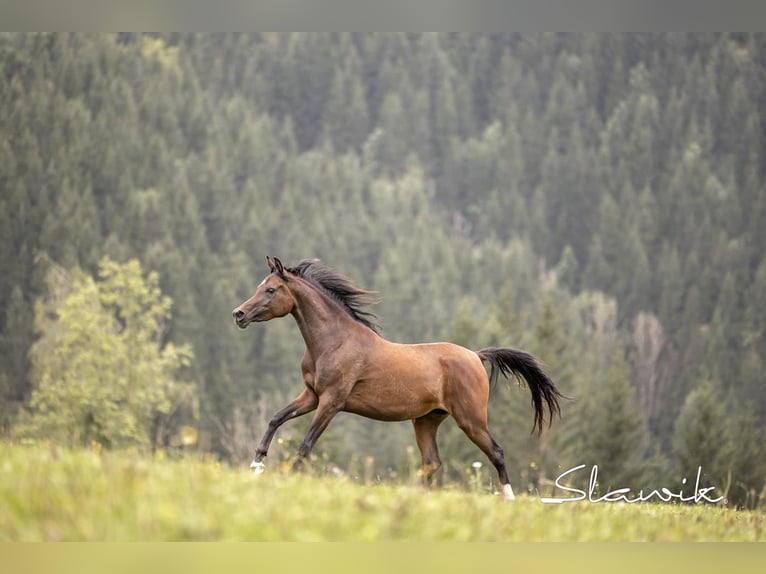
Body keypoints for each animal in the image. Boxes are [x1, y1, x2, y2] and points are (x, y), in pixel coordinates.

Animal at [231, 258, 568, 502]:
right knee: (432, 462)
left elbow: (305, 444)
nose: (238, 314)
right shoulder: (311, 395)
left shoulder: (331, 401)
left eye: (271, 290)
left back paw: (508, 499)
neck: (334, 341)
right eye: (261, 286)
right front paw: (256, 465)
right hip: (427, 420)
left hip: (470, 419)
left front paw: (285, 477)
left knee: (495, 452)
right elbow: (276, 418)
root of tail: (476, 355)